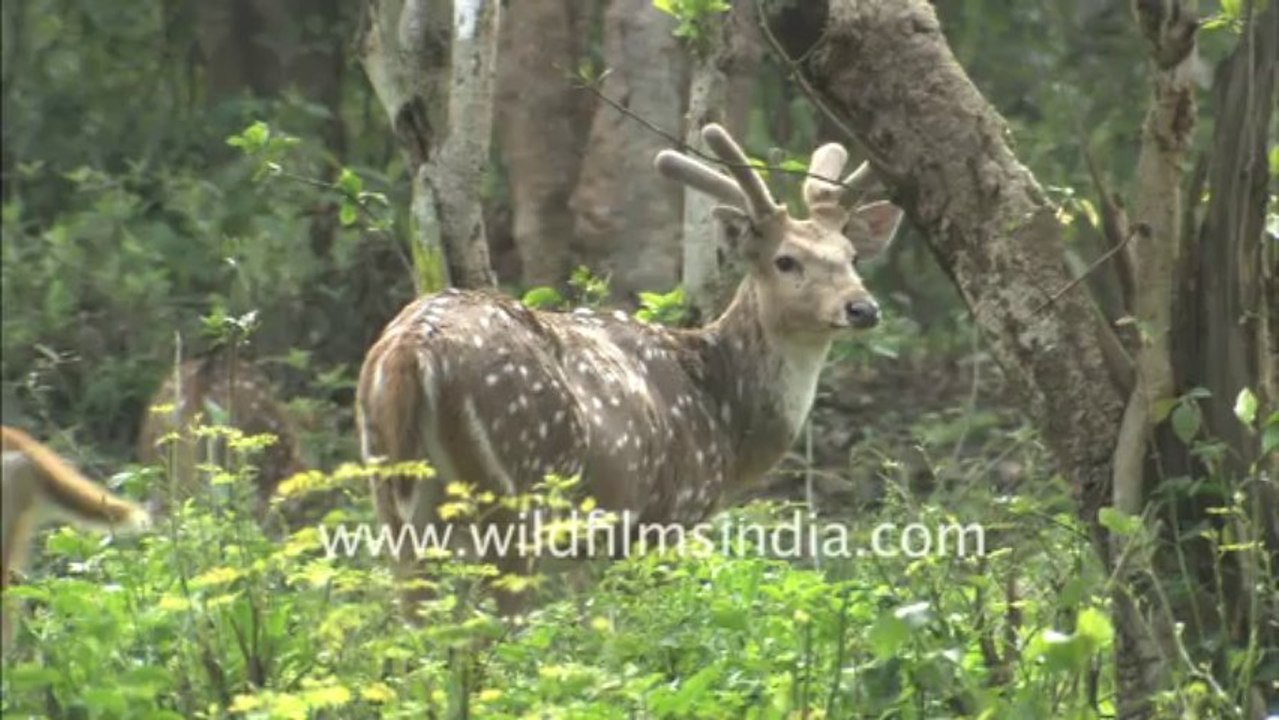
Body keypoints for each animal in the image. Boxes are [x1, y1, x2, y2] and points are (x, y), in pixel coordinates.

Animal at [355, 123, 903, 618]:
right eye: (786, 260)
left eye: (852, 256)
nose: (862, 307)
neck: (725, 419)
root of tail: (410, 352)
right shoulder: (663, 518)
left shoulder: (589, 550)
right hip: (515, 488)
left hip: (392, 497)